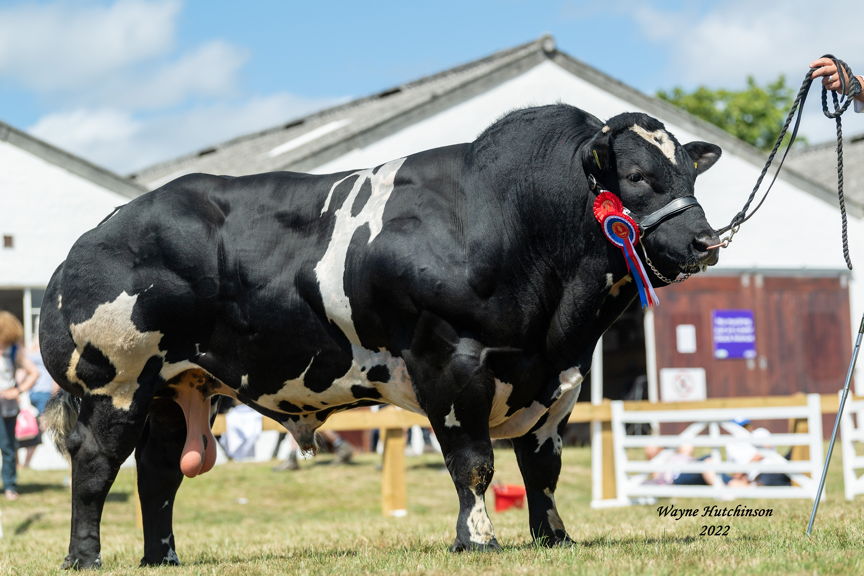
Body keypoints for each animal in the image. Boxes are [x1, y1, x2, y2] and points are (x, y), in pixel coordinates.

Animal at [37, 103, 720, 568]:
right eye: (636, 175)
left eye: (690, 174)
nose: (705, 241)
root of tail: (93, 237)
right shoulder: (451, 364)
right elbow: (474, 464)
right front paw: (477, 540)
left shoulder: (560, 380)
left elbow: (541, 466)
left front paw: (553, 537)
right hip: (115, 384)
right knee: (95, 468)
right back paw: (85, 557)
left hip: (174, 386)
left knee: (157, 473)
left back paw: (163, 557)